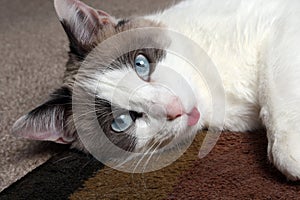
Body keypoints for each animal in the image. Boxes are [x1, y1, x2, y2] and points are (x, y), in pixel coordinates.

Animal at [12, 0, 300, 180]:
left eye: (141, 63)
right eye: (121, 122)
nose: (173, 108)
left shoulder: (280, 23)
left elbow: (273, 85)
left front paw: (291, 151)